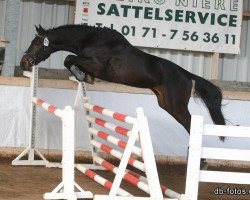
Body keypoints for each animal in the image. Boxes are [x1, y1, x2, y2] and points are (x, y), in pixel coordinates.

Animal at [20, 24, 226, 138]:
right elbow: (72, 62)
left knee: (190, 124)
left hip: (176, 106)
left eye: (37, 43)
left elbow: (69, 58)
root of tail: (188, 75)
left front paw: (79, 74)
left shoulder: (97, 66)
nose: (24, 63)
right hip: (165, 103)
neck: (92, 40)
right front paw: (81, 76)